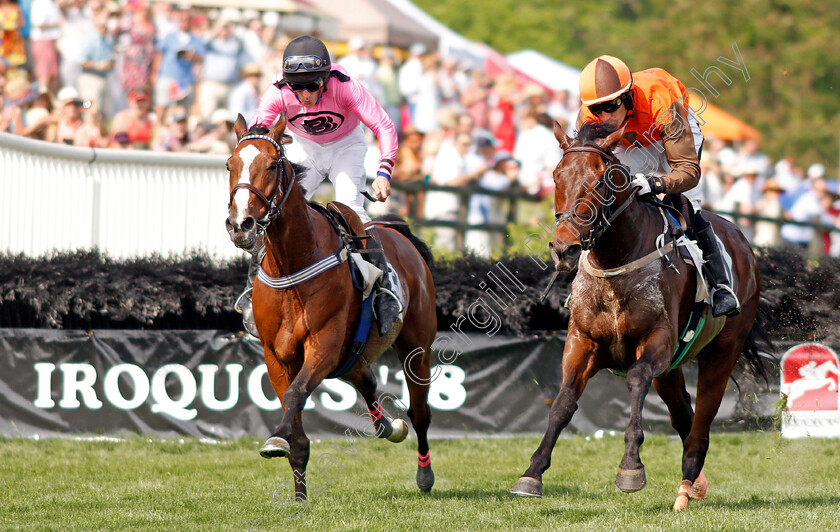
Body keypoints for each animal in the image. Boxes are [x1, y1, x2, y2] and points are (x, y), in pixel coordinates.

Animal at [226, 113, 440, 498]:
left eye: (273, 164)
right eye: (229, 164)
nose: (241, 225)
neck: (292, 263)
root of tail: (398, 231)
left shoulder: (323, 344)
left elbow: (296, 393)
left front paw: (276, 440)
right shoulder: (275, 354)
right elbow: (293, 408)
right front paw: (299, 495)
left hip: (416, 345)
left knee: (420, 412)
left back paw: (424, 475)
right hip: (350, 354)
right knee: (366, 379)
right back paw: (389, 427)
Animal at [512, 120, 768, 512]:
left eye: (601, 180)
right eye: (556, 175)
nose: (564, 249)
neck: (615, 261)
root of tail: (742, 240)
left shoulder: (655, 342)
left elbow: (634, 380)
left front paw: (630, 468)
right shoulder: (582, 342)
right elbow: (563, 402)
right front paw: (532, 473)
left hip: (722, 353)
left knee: (700, 426)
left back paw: (685, 490)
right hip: (672, 368)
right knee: (683, 416)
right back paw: (696, 484)